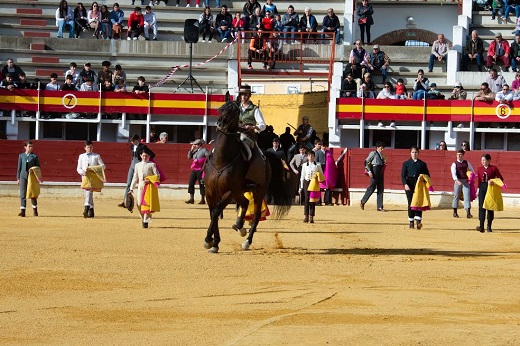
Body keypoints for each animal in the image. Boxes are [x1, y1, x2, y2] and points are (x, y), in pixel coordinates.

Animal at [203, 96, 292, 253]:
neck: (221, 159)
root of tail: (267, 158)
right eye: (221, 108)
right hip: (241, 191)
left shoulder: (230, 191)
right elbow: (213, 213)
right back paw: (239, 226)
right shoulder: (210, 191)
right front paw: (214, 242)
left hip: (258, 191)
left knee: (256, 215)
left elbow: (216, 212)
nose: (220, 124)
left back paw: (247, 241)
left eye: (234, 111)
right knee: (244, 203)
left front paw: (209, 240)